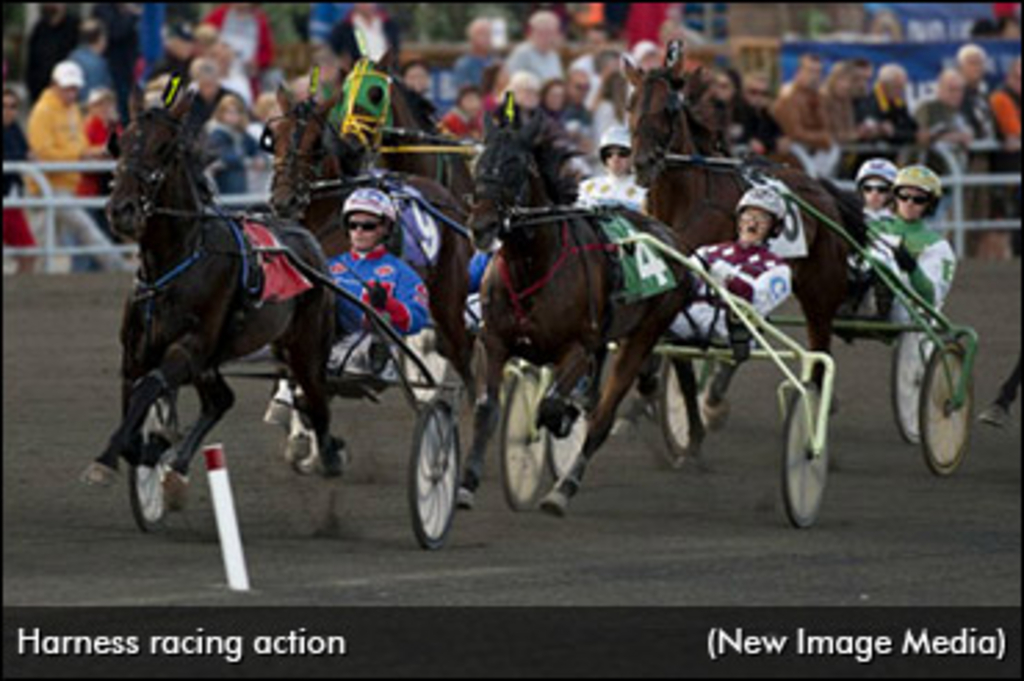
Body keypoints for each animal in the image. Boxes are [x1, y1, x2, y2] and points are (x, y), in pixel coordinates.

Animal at [80, 90, 344, 503]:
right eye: (119, 143)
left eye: (164, 147)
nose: (121, 209)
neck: (177, 258)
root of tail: (308, 242)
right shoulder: (137, 353)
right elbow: (136, 402)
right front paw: (151, 450)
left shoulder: (189, 348)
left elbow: (148, 389)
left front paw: (106, 462)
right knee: (221, 399)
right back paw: (178, 465)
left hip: (306, 347)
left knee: (317, 401)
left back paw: (329, 456)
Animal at [462, 103, 696, 516]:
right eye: (479, 163)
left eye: (516, 166)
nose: (482, 226)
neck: (532, 267)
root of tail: (672, 240)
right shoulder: (494, 341)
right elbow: (487, 407)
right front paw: (468, 482)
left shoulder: (576, 348)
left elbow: (551, 407)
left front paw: (560, 423)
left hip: (644, 334)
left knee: (603, 415)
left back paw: (563, 489)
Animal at [622, 49, 864, 409]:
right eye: (630, 104)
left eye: (669, 107)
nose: (643, 162)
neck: (686, 201)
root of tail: (822, 191)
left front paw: (650, 380)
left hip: (821, 294)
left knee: (819, 353)